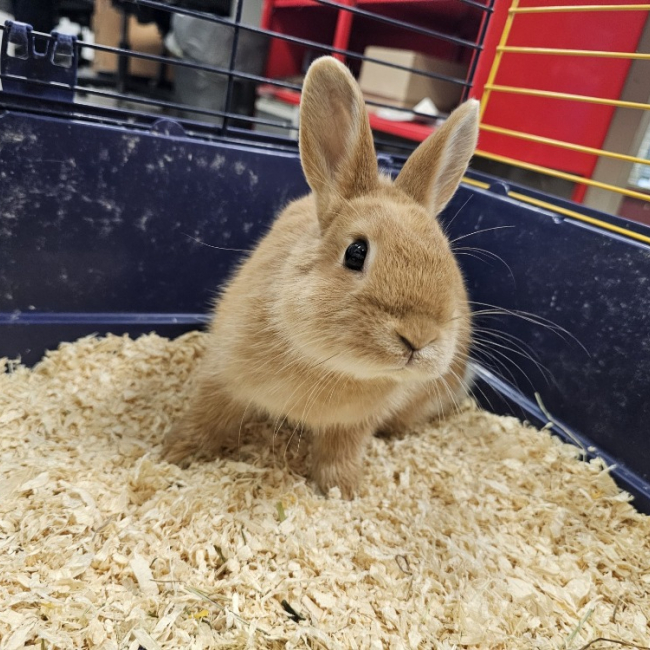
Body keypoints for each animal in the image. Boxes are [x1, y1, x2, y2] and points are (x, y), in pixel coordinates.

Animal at [162, 56, 479, 498]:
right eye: (356, 252)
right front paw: (173, 455)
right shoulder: (222, 378)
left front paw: (343, 492)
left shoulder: (353, 425)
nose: (419, 337)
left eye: (446, 257)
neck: (332, 365)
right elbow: (205, 419)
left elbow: (340, 453)